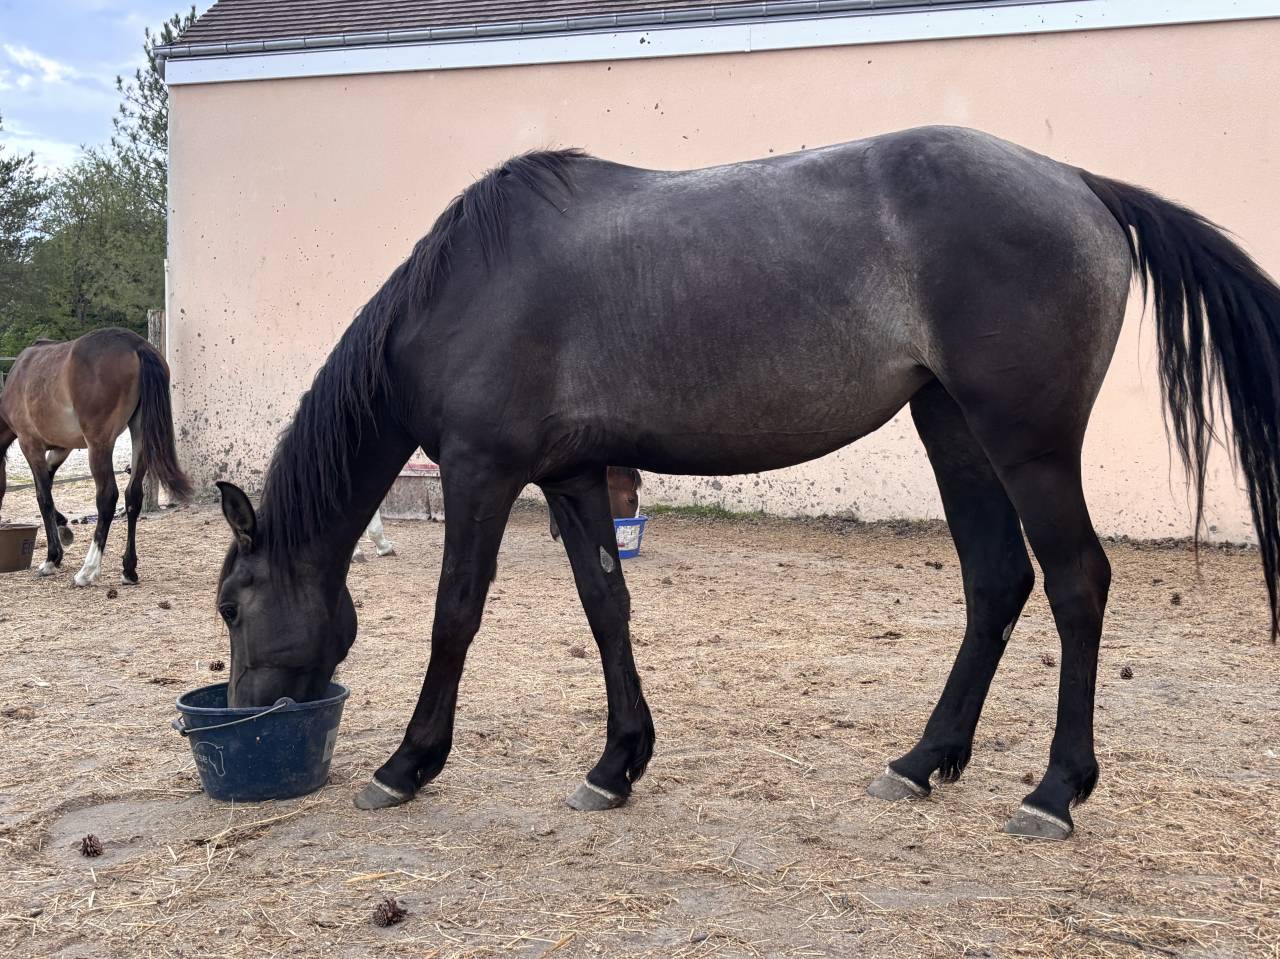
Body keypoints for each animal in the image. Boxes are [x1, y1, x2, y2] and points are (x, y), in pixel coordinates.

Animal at [0, 328, 192, 586]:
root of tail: (136, 345)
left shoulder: (30, 445)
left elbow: (43, 497)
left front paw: (51, 558)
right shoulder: (62, 448)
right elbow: (49, 487)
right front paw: (62, 530)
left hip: (99, 446)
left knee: (107, 497)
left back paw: (87, 570)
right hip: (140, 437)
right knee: (133, 496)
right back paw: (128, 570)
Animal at [214, 126, 1280, 841]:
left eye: (231, 604)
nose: (241, 710)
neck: (467, 285)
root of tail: (1079, 183)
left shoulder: (483, 472)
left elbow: (456, 615)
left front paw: (407, 763)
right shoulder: (570, 476)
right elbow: (607, 606)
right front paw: (617, 762)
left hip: (1027, 444)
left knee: (1075, 583)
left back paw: (1054, 790)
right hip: (953, 428)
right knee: (997, 582)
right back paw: (921, 761)